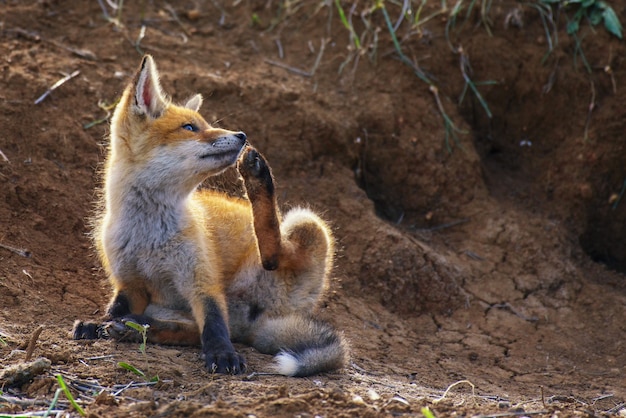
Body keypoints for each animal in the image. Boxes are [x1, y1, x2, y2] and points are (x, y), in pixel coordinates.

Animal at [73, 54, 348, 378]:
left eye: (203, 125)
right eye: (190, 127)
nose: (241, 135)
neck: (150, 235)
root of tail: (254, 323)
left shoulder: (201, 278)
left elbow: (214, 323)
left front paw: (222, 354)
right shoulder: (130, 283)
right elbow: (118, 309)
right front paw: (100, 324)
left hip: (305, 222)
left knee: (272, 255)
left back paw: (258, 179)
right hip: (168, 307)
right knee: (190, 331)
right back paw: (136, 328)